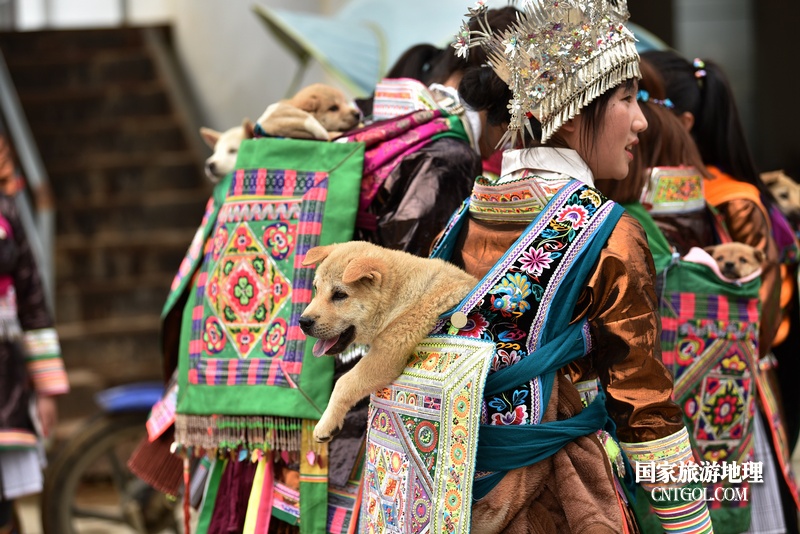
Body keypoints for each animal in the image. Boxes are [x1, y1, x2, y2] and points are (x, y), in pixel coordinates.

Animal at [298, 243, 476, 444]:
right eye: (316, 289)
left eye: (340, 295)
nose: (303, 322)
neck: (397, 300)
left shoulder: (386, 357)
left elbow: (343, 383)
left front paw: (325, 424)